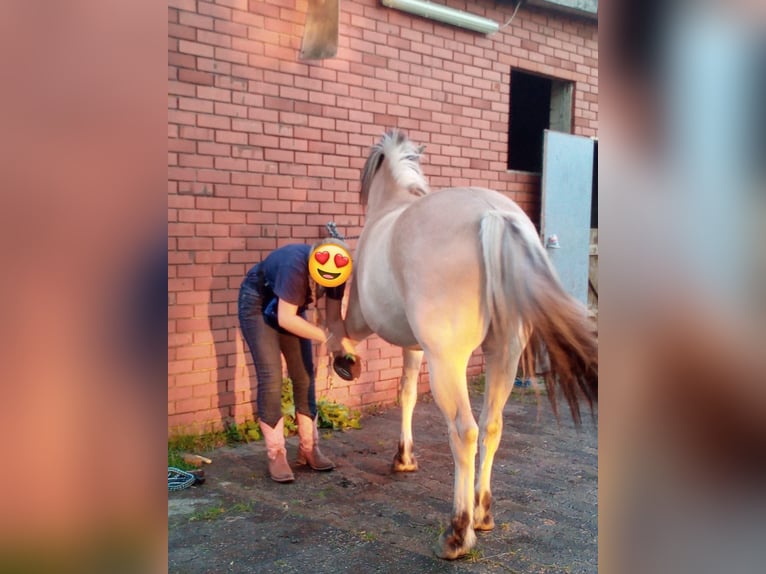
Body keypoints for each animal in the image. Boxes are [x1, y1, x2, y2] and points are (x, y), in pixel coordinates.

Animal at [342, 129, 598, 559]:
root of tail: (494, 215)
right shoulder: (415, 346)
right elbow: (407, 392)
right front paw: (404, 458)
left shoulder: (364, 320)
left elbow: (338, 335)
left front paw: (342, 364)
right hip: (504, 356)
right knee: (492, 426)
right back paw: (482, 513)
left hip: (448, 362)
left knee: (465, 431)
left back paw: (458, 533)